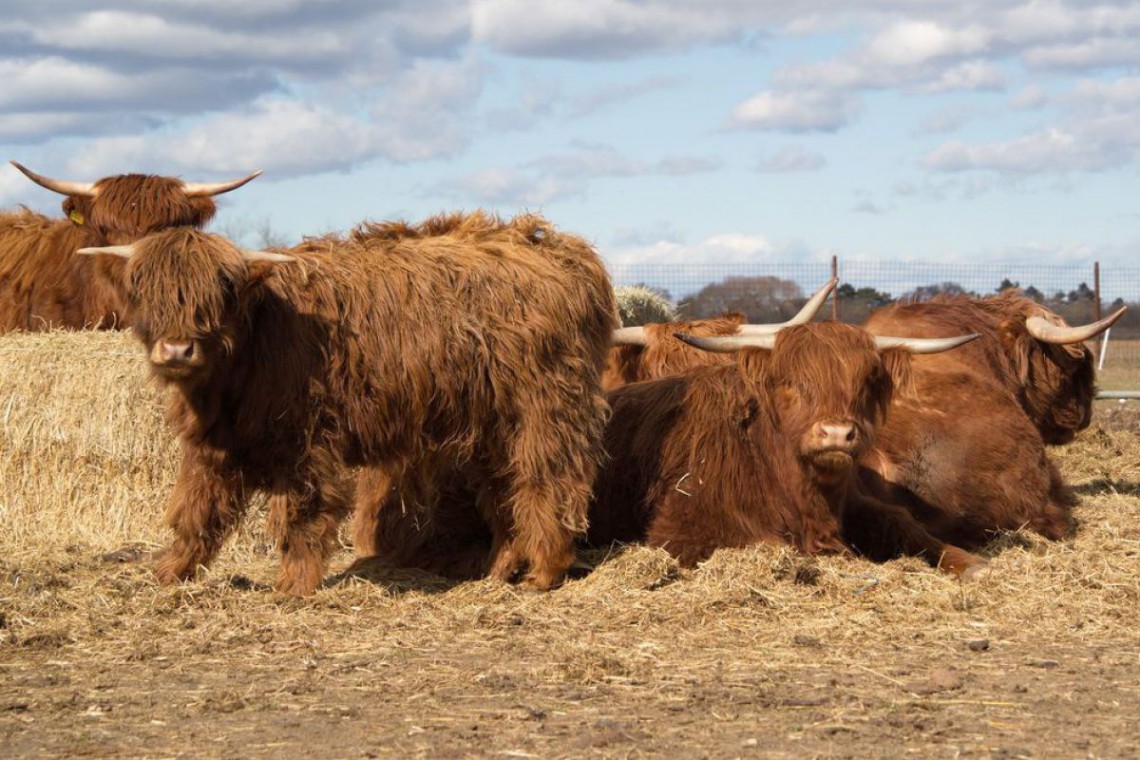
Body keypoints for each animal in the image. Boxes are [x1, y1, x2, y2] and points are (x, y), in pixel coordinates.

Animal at [81, 213, 620, 592]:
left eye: (221, 290)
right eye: (144, 290)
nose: (176, 350)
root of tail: (564, 251)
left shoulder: (305, 442)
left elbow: (302, 513)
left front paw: (292, 587)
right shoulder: (215, 443)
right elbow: (195, 509)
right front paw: (169, 573)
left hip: (544, 410)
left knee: (549, 481)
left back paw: (544, 573)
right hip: (493, 425)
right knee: (505, 492)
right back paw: (498, 572)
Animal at [583, 321, 984, 576]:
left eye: (867, 382)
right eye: (791, 383)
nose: (836, 433)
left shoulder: (858, 502)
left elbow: (901, 522)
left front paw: (969, 563)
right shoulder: (682, 529)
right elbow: (772, 544)